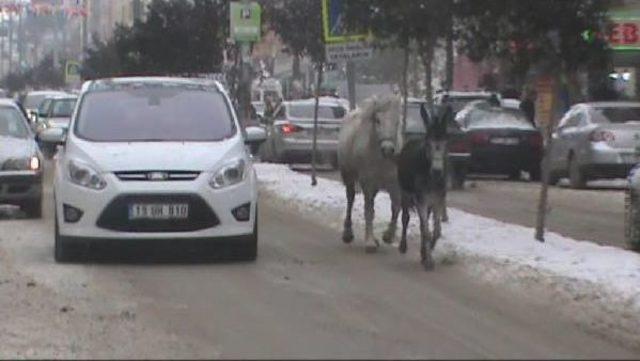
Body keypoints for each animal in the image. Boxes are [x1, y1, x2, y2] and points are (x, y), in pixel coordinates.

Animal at [338, 97, 402, 252]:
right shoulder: (367, 182)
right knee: (351, 199)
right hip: (348, 175)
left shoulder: (393, 182)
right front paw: (370, 242)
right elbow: (368, 210)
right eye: (377, 120)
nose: (388, 149)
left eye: (397, 121)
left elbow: (396, 207)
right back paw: (348, 234)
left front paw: (388, 236)